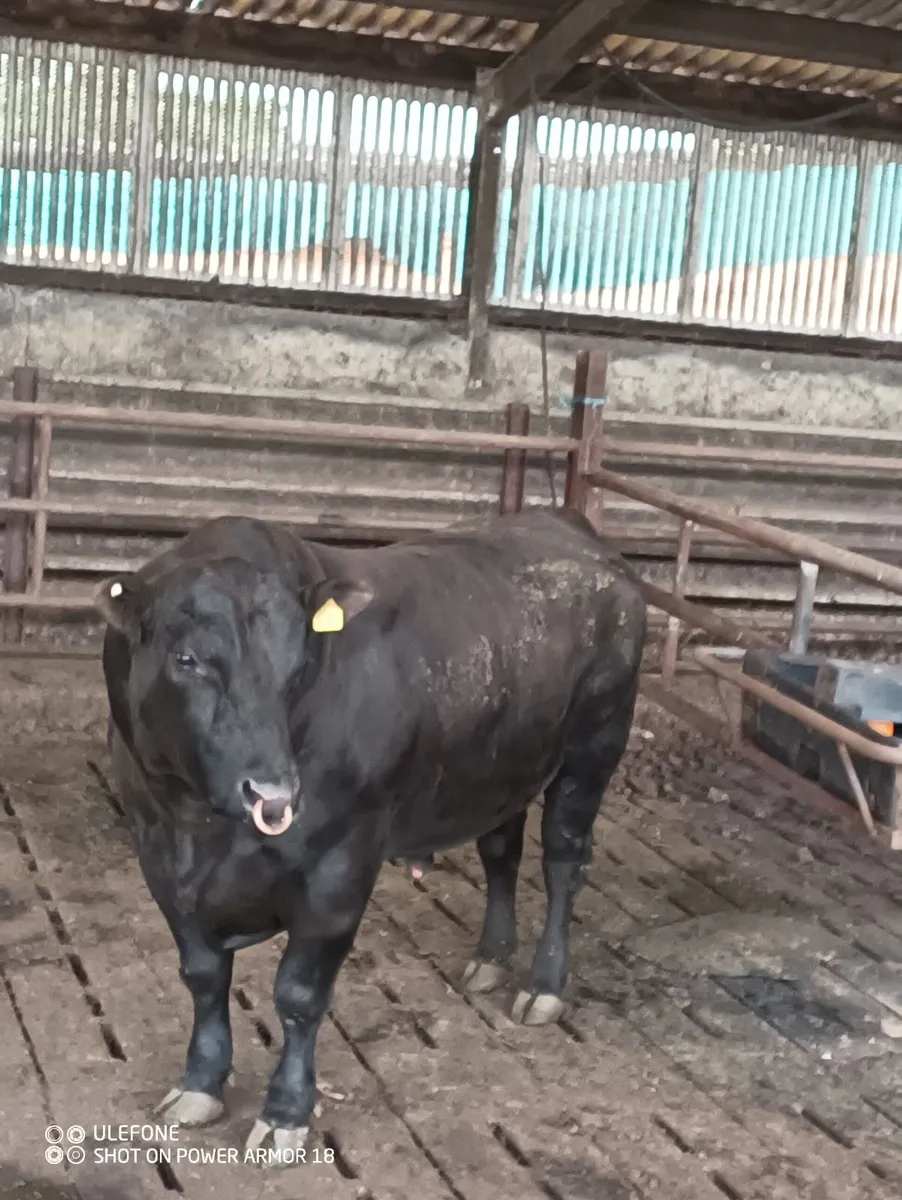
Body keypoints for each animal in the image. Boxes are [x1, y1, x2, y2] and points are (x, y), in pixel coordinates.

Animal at [94, 508, 646, 1164]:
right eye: (188, 660)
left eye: (297, 667)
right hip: (500, 767)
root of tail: (566, 523)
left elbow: (298, 995)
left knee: (563, 862)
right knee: (500, 853)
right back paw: (489, 958)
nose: (273, 794)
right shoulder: (158, 857)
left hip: (593, 748)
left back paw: (543, 986)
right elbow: (203, 977)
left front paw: (285, 1113)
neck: (198, 825)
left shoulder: (341, 867)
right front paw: (199, 1084)